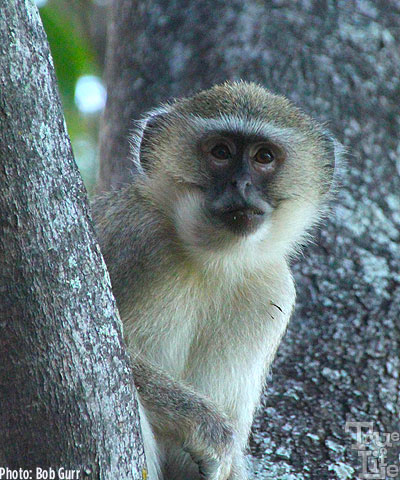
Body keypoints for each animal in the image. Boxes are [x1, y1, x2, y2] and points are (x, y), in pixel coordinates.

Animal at [93, 80, 340, 478]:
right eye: (220, 152)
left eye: (264, 157)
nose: (241, 184)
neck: (214, 261)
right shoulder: (133, 235)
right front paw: (208, 428)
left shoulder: (272, 292)